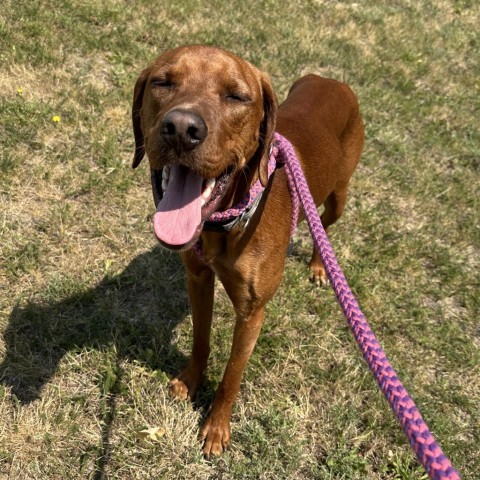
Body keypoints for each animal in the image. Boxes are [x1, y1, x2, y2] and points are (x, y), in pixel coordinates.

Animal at [131, 46, 364, 458]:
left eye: (237, 96)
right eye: (162, 82)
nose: (181, 129)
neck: (226, 221)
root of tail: (329, 80)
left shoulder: (252, 312)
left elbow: (232, 375)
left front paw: (216, 427)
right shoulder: (198, 278)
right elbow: (201, 339)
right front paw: (190, 381)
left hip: (339, 196)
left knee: (324, 224)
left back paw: (320, 266)